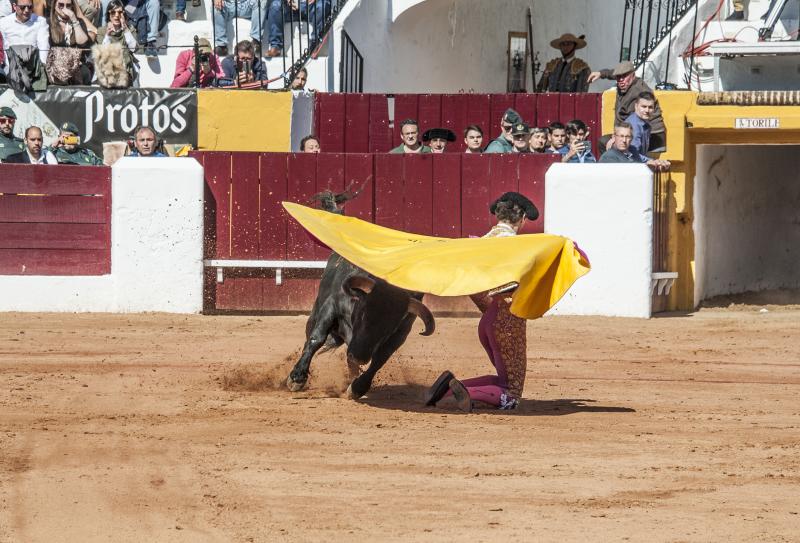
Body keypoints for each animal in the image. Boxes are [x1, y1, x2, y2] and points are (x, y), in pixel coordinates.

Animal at [288, 255, 434, 400]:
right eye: (363, 314)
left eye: (389, 329)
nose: (358, 357)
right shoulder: (331, 307)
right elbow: (317, 339)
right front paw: (297, 378)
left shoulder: (400, 333)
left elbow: (379, 360)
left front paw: (357, 388)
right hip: (315, 316)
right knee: (310, 339)